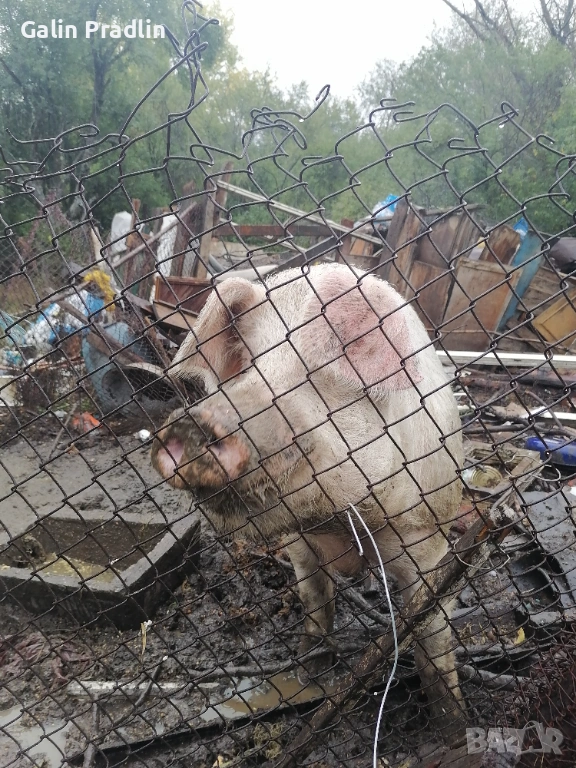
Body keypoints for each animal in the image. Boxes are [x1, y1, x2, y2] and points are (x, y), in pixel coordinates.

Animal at [151, 263, 466, 741]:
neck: (336, 518)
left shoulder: (425, 535)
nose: (193, 424)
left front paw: (455, 733)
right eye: (247, 366)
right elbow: (315, 597)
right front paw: (309, 675)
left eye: (313, 374)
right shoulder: (298, 541)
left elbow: (432, 633)